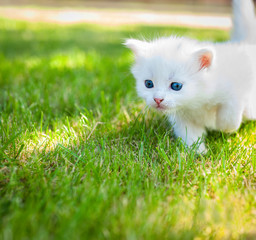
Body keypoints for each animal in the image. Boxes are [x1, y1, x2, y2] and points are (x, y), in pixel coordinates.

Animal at [125, 0, 256, 154]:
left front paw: (223, 127)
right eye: (149, 84)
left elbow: (230, 117)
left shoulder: (235, 91)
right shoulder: (182, 118)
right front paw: (198, 153)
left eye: (176, 86)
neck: (195, 101)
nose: (157, 99)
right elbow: (190, 135)